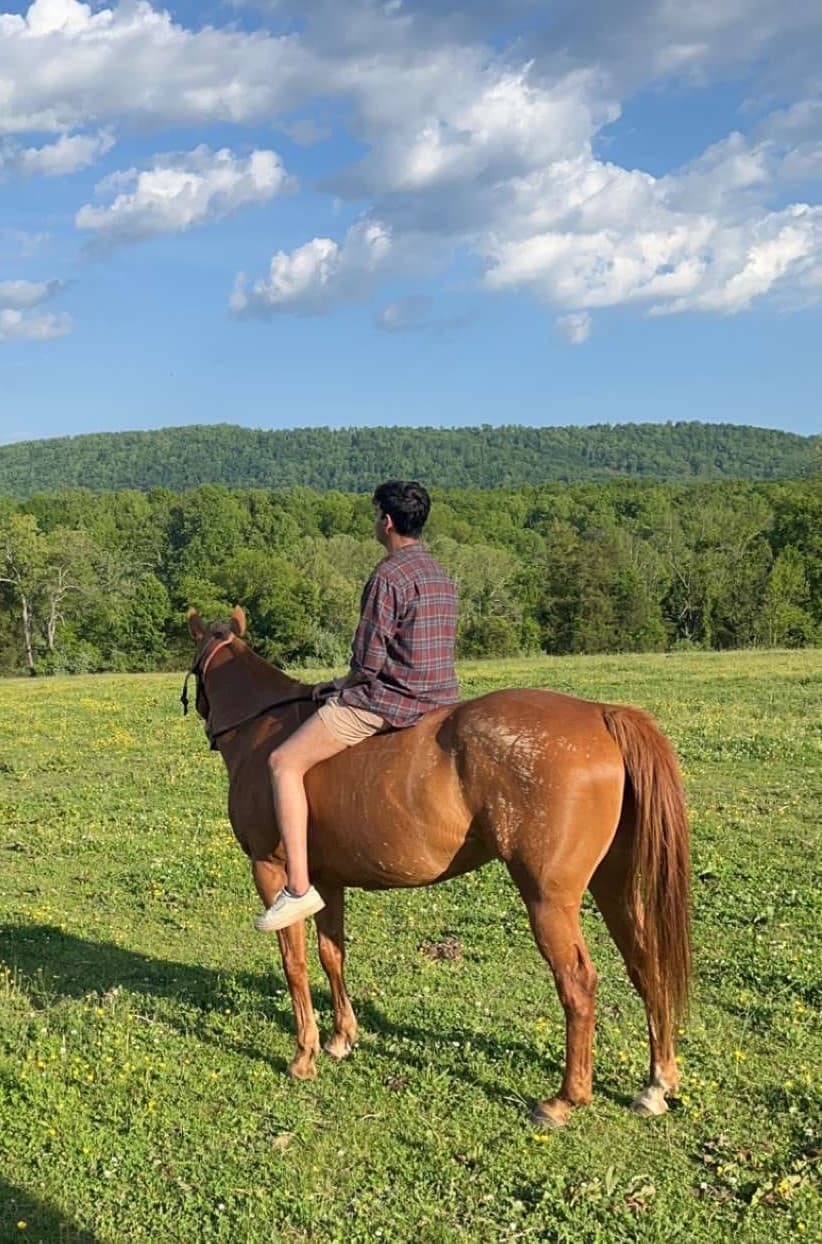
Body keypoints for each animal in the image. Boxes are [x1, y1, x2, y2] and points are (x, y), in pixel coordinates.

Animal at [184, 605, 691, 1128]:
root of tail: (600, 713)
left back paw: (565, 1099)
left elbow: (295, 962)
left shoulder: (271, 870)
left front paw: (304, 1054)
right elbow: (331, 955)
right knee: (646, 964)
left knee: (578, 983)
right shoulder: (325, 881)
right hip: (614, 885)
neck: (264, 729)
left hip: (549, 899)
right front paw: (342, 1037)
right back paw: (657, 1082)